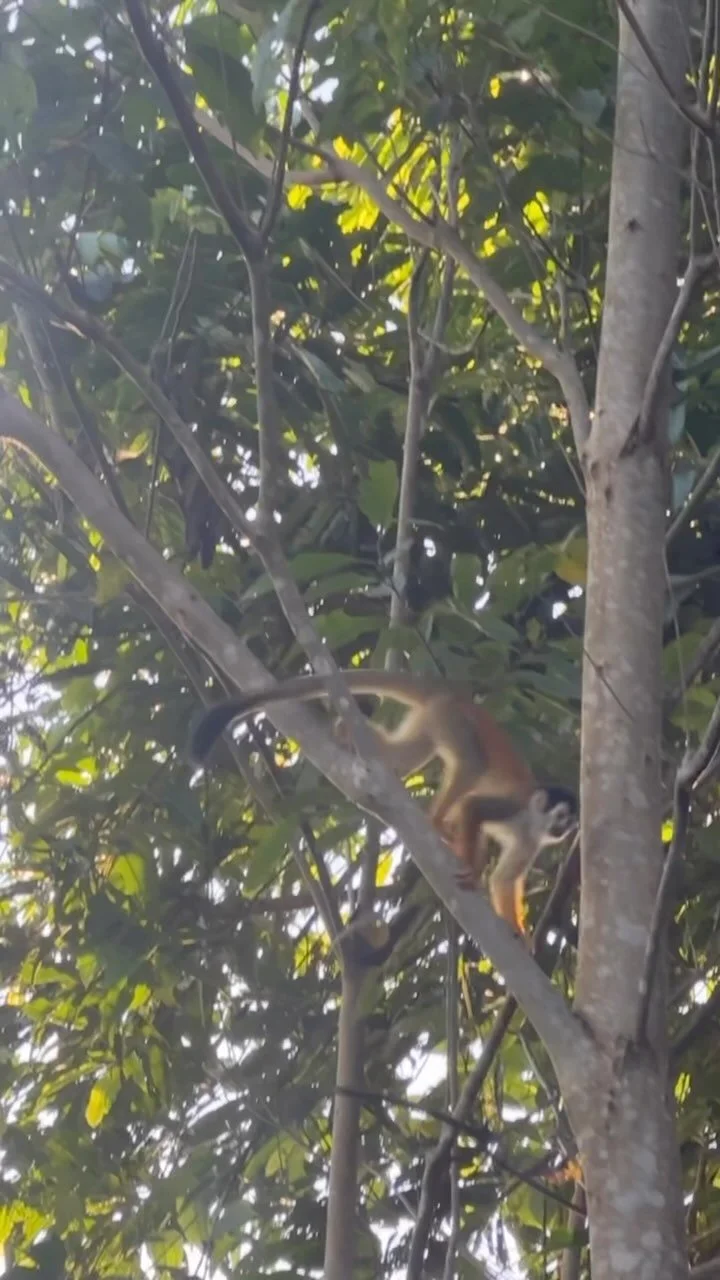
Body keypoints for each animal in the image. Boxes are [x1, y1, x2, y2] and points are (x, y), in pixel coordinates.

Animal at [189, 671, 577, 935]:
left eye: (569, 823)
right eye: (561, 816)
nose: (563, 831)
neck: (532, 821)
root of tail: (454, 694)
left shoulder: (531, 842)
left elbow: (504, 881)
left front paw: (520, 934)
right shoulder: (515, 804)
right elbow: (474, 810)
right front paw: (472, 864)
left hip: (431, 721)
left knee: (403, 759)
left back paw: (346, 733)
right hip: (453, 721)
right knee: (471, 763)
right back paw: (436, 820)